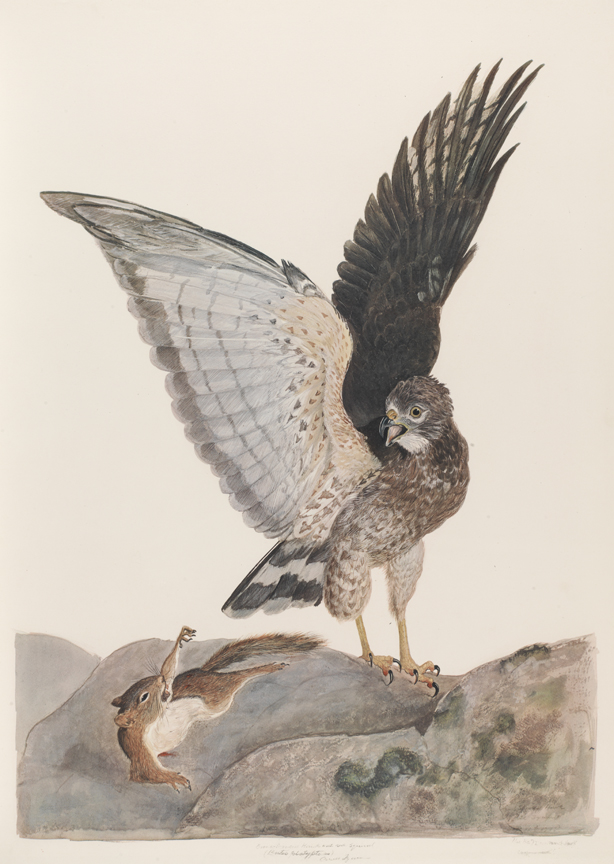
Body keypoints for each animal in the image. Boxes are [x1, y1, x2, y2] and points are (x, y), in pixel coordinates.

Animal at [111, 626, 324, 790]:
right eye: (144, 697)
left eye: (145, 682)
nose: (159, 679)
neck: (156, 720)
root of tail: (205, 672)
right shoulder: (139, 750)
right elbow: (146, 772)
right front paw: (173, 777)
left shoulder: (169, 692)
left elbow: (170, 673)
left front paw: (181, 637)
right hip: (220, 695)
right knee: (239, 676)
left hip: (218, 696)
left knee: (240, 675)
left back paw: (269, 667)